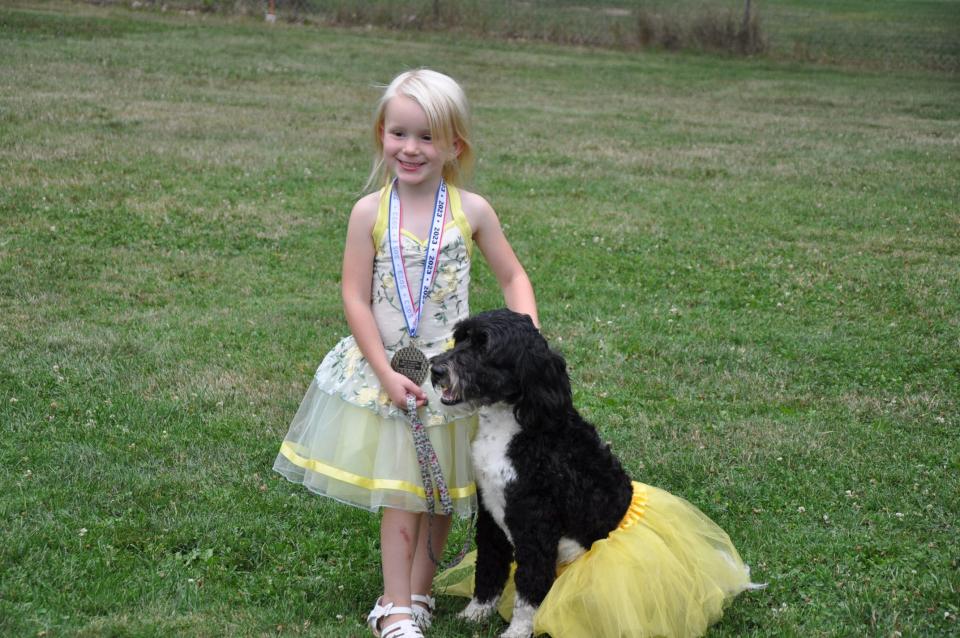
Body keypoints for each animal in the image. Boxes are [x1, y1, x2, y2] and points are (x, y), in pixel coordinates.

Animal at [432, 310, 632, 638]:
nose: (436, 369)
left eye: (484, 347)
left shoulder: (534, 522)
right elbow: (488, 566)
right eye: (461, 337)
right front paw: (476, 612)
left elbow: (529, 585)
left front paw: (517, 631)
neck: (514, 428)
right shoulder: (490, 516)